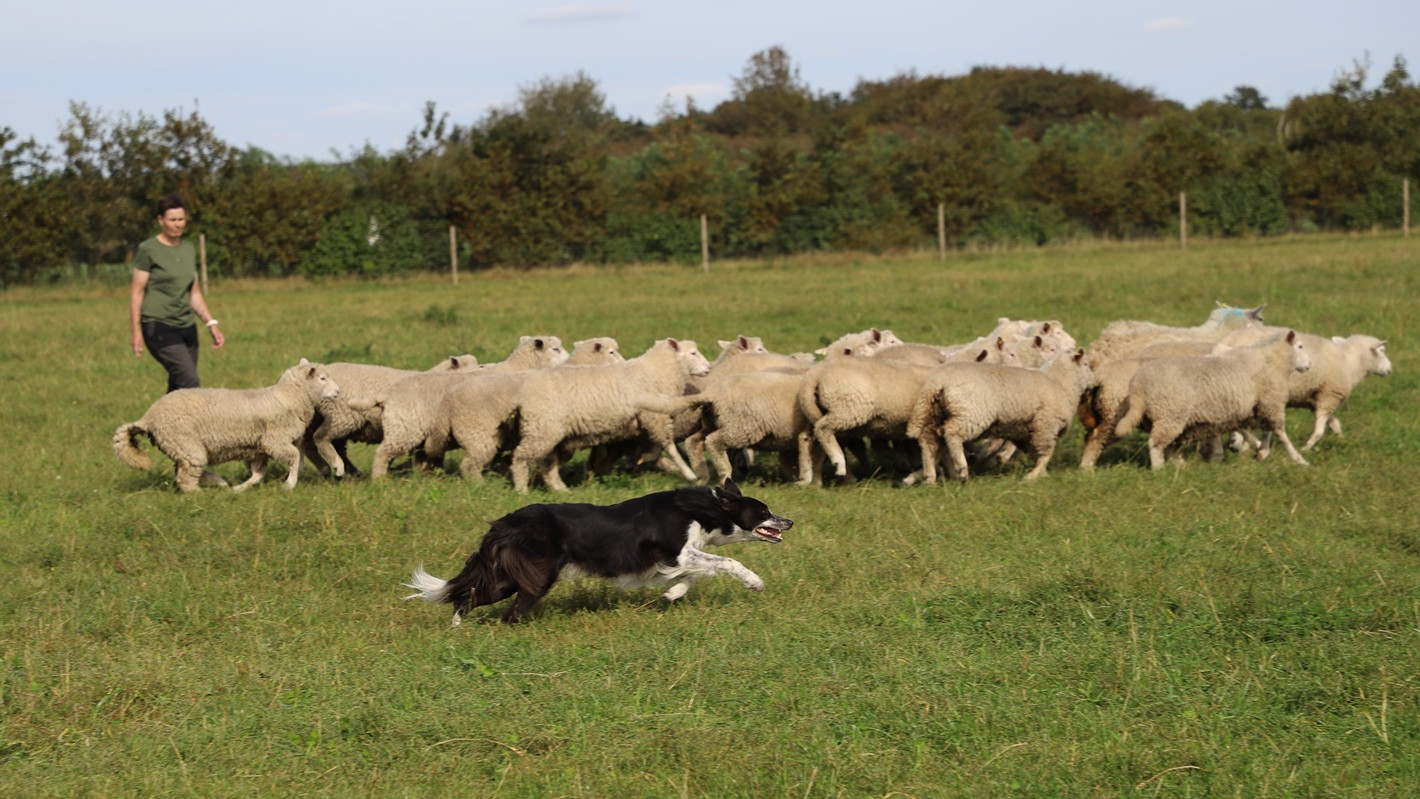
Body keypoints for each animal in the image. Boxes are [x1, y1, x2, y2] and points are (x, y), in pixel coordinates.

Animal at [112, 359, 337, 491]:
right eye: (322, 378)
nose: (338, 392)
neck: (289, 397)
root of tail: (148, 418)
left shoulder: (259, 448)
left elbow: (258, 474)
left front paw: (240, 489)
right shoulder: (274, 441)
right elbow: (294, 457)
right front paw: (289, 484)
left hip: (179, 448)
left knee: (182, 471)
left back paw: (217, 482)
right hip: (186, 444)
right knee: (186, 479)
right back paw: (200, 494)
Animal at [406, 479, 795, 621]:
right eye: (764, 511)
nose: (790, 521)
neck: (704, 509)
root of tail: (505, 523)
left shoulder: (676, 560)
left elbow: (694, 575)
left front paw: (673, 594)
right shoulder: (678, 552)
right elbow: (725, 560)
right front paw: (754, 582)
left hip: (508, 576)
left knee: (467, 595)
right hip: (534, 577)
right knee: (504, 610)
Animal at [508, 339, 710, 493]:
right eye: (693, 353)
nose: (708, 368)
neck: (657, 371)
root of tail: (522, 395)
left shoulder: (647, 422)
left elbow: (655, 449)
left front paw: (642, 461)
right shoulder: (655, 418)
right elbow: (670, 447)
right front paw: (690, 474)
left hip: (547, 432)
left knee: (547, 463)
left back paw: (560, 489)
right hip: (542, 430)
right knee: (520, 458)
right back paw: (522, 490)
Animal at [903, 349, 1090, 482]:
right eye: (1087, 364)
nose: (1093, 384)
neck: (1061, 383)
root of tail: (936, 382)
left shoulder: (1028, 430)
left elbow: (1035, 454)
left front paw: (1041, 475)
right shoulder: (1045, 427)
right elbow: (1046, 454)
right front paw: (1032, 476)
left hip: (935, 414)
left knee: (929, 441)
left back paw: (929, 476)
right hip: (970, 414)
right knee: (952, 433)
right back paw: (962, 469)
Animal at [1113, 329, 1312, 468]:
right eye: (1300, 346)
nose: (1309, 365)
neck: (1271, 360)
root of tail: (1138, 385)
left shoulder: (1258, 404)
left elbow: (1264, 430)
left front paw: (1261, 451)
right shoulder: (1271, 400)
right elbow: (1279, 432)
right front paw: (1299, 459)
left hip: (1166, 417)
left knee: (1168, 445)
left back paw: (1180, 465)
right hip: (1170, 414)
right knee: (1156, 444)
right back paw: (1159, 469)